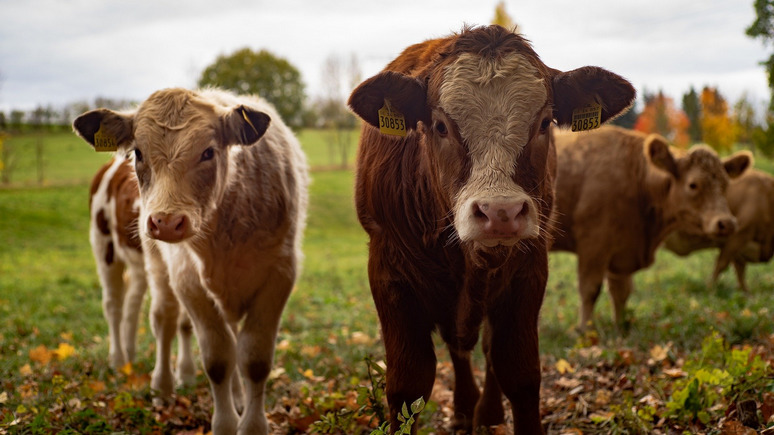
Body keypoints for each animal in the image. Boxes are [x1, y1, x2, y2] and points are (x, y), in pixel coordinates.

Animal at [76, 87, 310, 434]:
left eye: (208, 152)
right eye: (139, 153)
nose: (166, 222)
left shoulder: (279, 273)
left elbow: (253, 358)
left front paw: (249, 420)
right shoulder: (187, 278)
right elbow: (217, 357)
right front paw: (225, 424)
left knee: (138, 307)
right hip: (110, 249)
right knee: (137, 311)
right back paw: (138, 370)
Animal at [348, 25, 636, 434]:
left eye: (544, 123)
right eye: (440, 126)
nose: (500, 211)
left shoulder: (529, 271)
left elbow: (519, 372)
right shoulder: (389, 274)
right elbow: (408, 385)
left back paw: (486, 412)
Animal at [552, 125, 752, 330]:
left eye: (726, 185)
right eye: (693, 185)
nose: (727, 222)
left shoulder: (622, 252)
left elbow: (621, 293)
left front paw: (620, 327)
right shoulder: (593, 246)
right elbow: (590, 290)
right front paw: (586, 330)